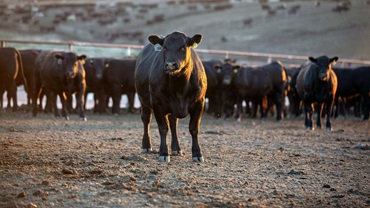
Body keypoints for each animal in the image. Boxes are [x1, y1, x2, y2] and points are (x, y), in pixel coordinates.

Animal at [134, 30, 207, 162]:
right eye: (165, 47)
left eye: (183, 47)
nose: (170, 65)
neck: (180, 87)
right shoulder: (157, 103)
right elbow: (163, 128)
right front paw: (163, 153)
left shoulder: (199, 102)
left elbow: (193, 128)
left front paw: (197, 154)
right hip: (143, 100)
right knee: (146, 119)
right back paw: (146, 145)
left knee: (173, 123)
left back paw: (176, 148)